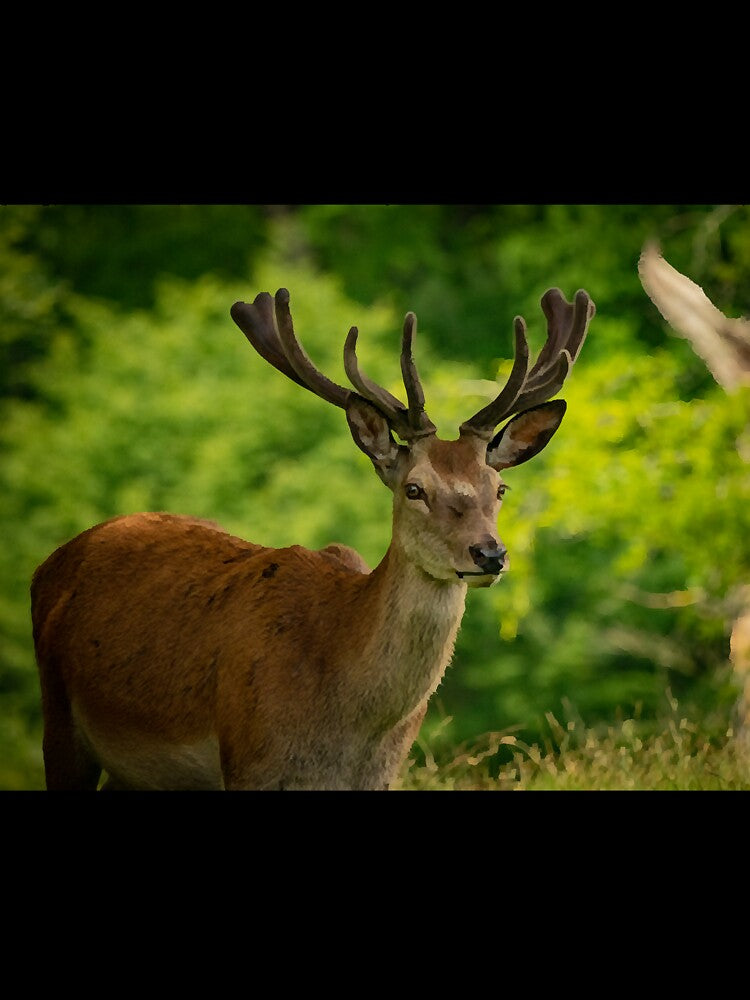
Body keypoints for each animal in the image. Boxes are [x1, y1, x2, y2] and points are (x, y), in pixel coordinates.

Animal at [31, 284, 595, 790]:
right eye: (414, 488)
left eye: (498, 487)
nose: (489, 553)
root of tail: (53, 560)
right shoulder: (252, 761)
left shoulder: (381, 776)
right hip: (59, 717)